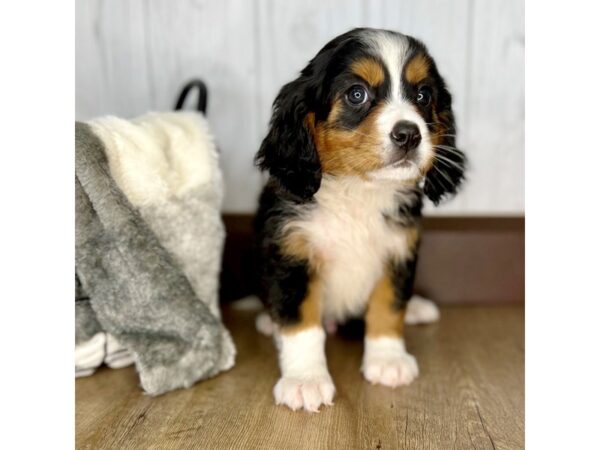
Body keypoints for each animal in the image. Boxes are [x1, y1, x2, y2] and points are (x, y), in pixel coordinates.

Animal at [252, 27, 464, 412]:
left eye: (423, 95)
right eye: (356, 94)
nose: (409, 134)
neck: (358, 192)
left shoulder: (398, 250)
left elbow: (389, 305)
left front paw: (388, 359)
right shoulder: (291, 252)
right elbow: (300, 322)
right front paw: (305, 379)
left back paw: (416, 308)